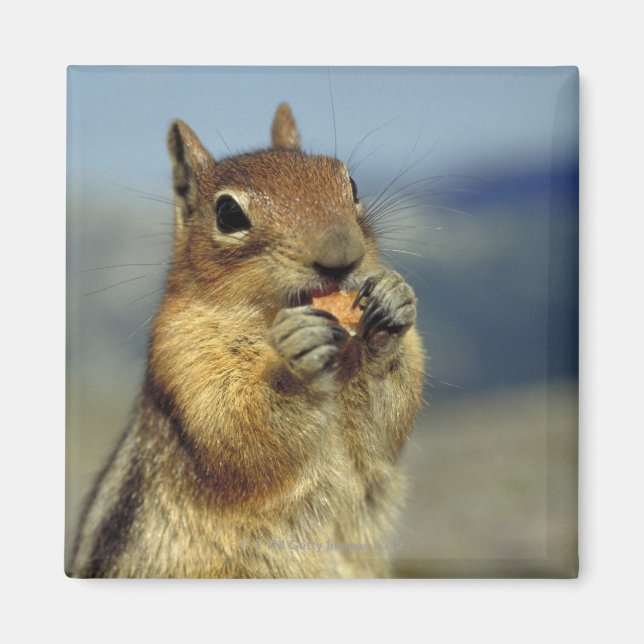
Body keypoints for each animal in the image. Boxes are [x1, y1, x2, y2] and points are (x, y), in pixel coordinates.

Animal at [68, 103, 425, 578]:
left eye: (350, 183)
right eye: (229, 214)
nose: (341, 256)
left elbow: (386, 425)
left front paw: (391, 303)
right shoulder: (185, 361)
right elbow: (241, 432)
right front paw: (295, 362)